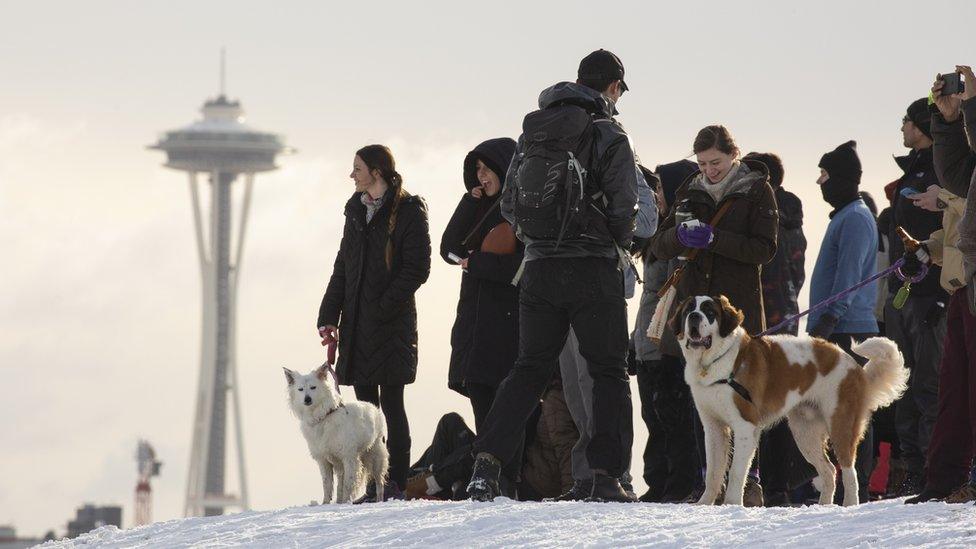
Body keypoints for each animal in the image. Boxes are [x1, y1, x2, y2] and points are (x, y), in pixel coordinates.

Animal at [284, 366, 386, 504]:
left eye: (313, 387)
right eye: (300, 389)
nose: (307, 399)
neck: (322, 417)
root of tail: (373, 407)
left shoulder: (349, 458)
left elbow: (348, 484)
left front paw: (346, 502)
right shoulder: (323, 460)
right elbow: (327, 484)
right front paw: (326, 503)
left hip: (375, 457)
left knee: (379, 483)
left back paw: (379, 500)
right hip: (339, 464)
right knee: (339, 484)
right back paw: (339, 500)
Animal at [672, 296, 908, 506]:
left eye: (709, 312)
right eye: (688, 310)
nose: (694, 316)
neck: (714, 361)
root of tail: (856, 367)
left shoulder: (745, 427)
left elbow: (737, 472)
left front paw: (731, 504)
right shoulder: (714, 428)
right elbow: (713, 471)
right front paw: (704, 504)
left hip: (841, 424)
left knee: (850, 471)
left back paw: (849, 504)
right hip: (804, 431)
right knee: (829, 470)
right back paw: (823, 506)